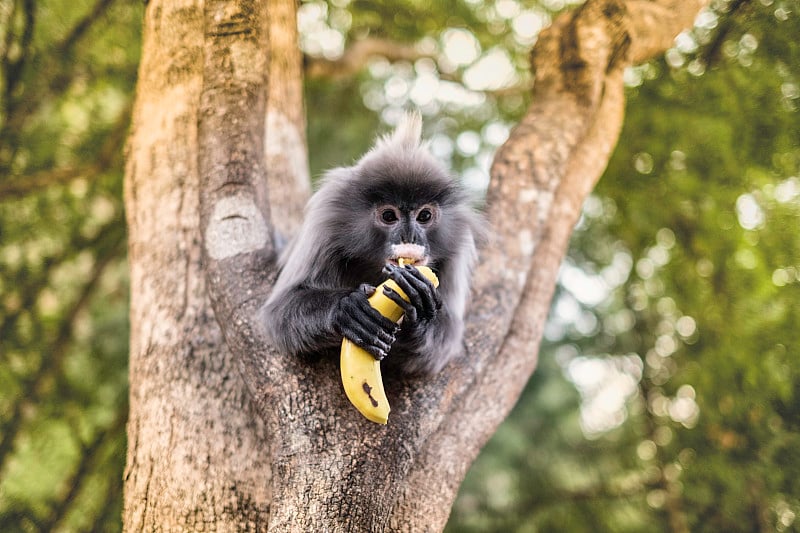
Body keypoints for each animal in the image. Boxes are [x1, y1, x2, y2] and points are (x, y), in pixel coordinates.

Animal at [266, 112, 484, 372]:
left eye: (424, 216)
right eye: (389, 216)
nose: (409, 236)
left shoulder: (457, 250)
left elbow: (445, 340)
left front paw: (421, 312)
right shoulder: (325, 224)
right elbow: (278, 312)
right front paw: (348, 310)